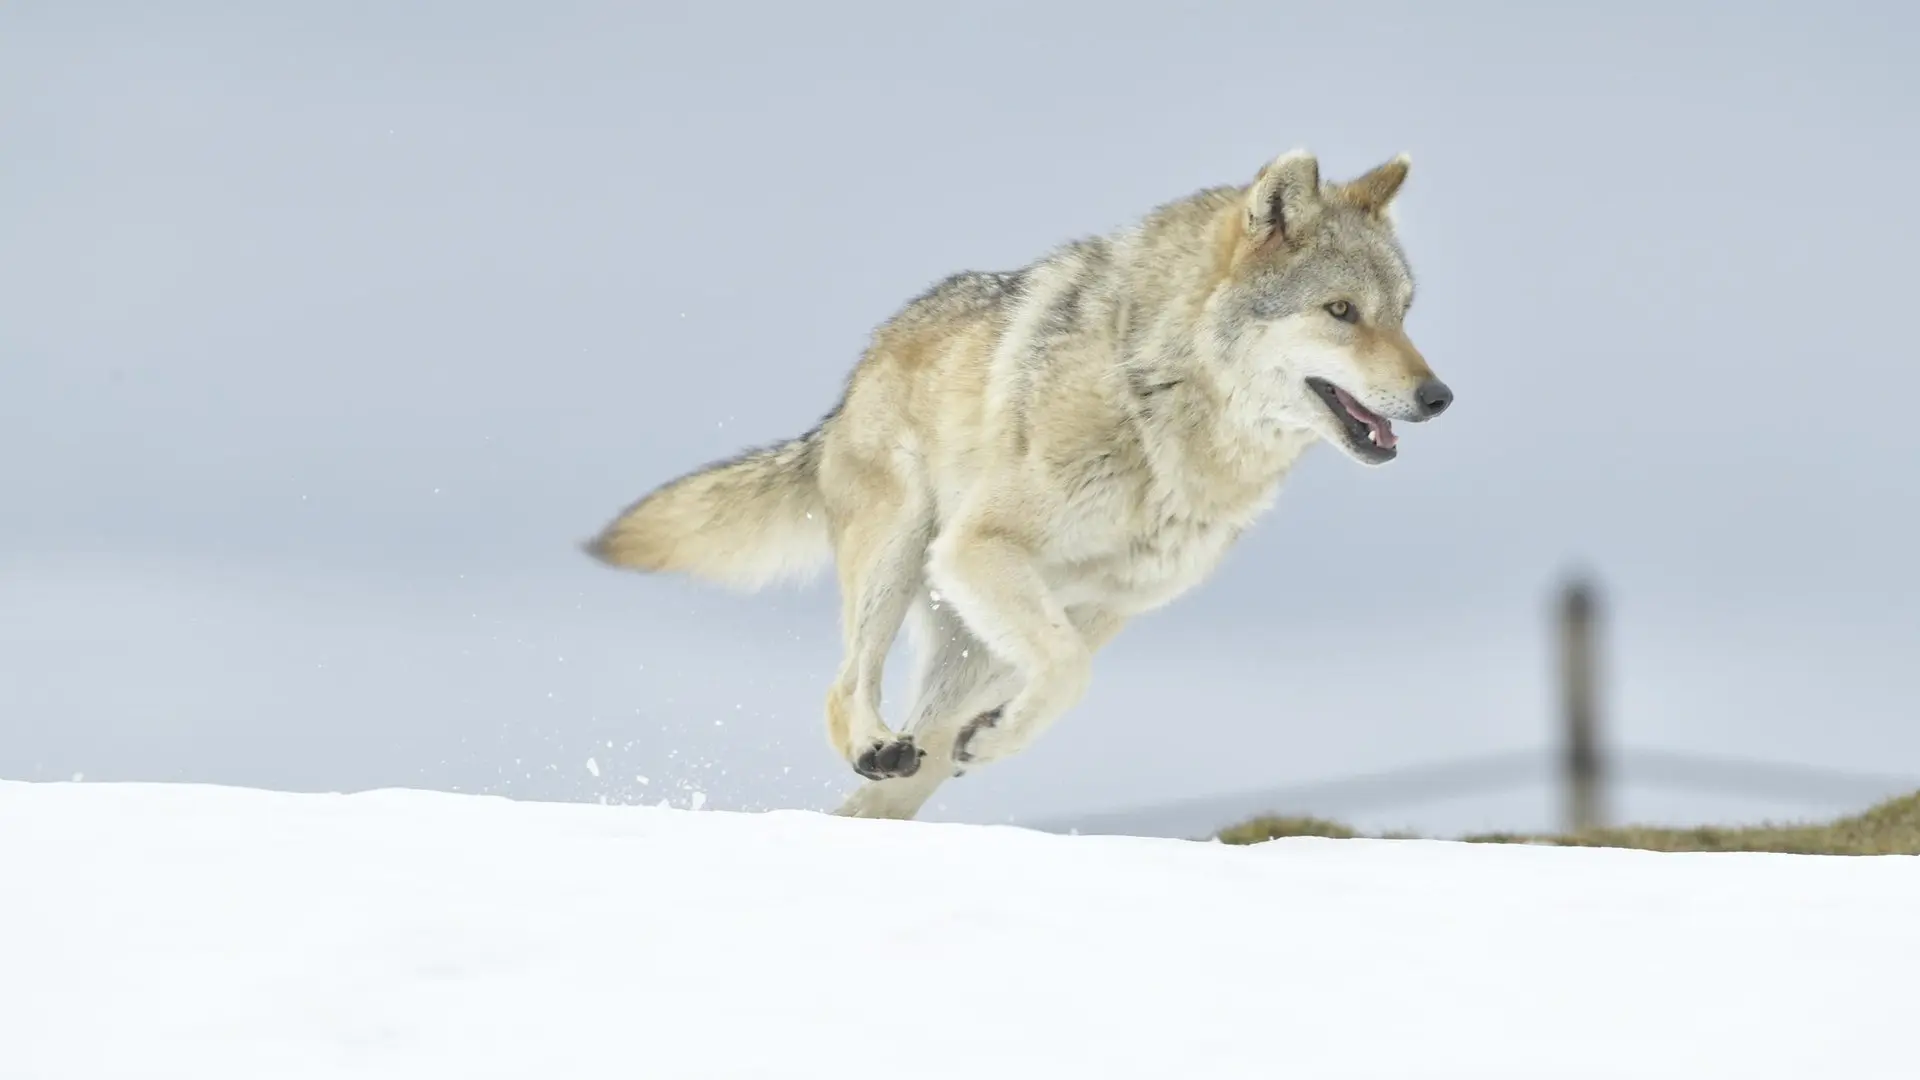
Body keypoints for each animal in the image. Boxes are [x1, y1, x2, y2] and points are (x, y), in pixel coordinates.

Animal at [585, 148, 1453, 820]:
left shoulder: (1105, 607)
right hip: (907, 550)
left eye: (1404, 314)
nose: (1438, 397)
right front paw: (996, 735)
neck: (1162, 408)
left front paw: (994, 736)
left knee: (906, 770)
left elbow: (1062, 681)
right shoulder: (981, 547)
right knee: (846, 692)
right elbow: (1067, 673)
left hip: (968, 638)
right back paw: (874, 745)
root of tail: (855, 377)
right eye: (1341, 311)